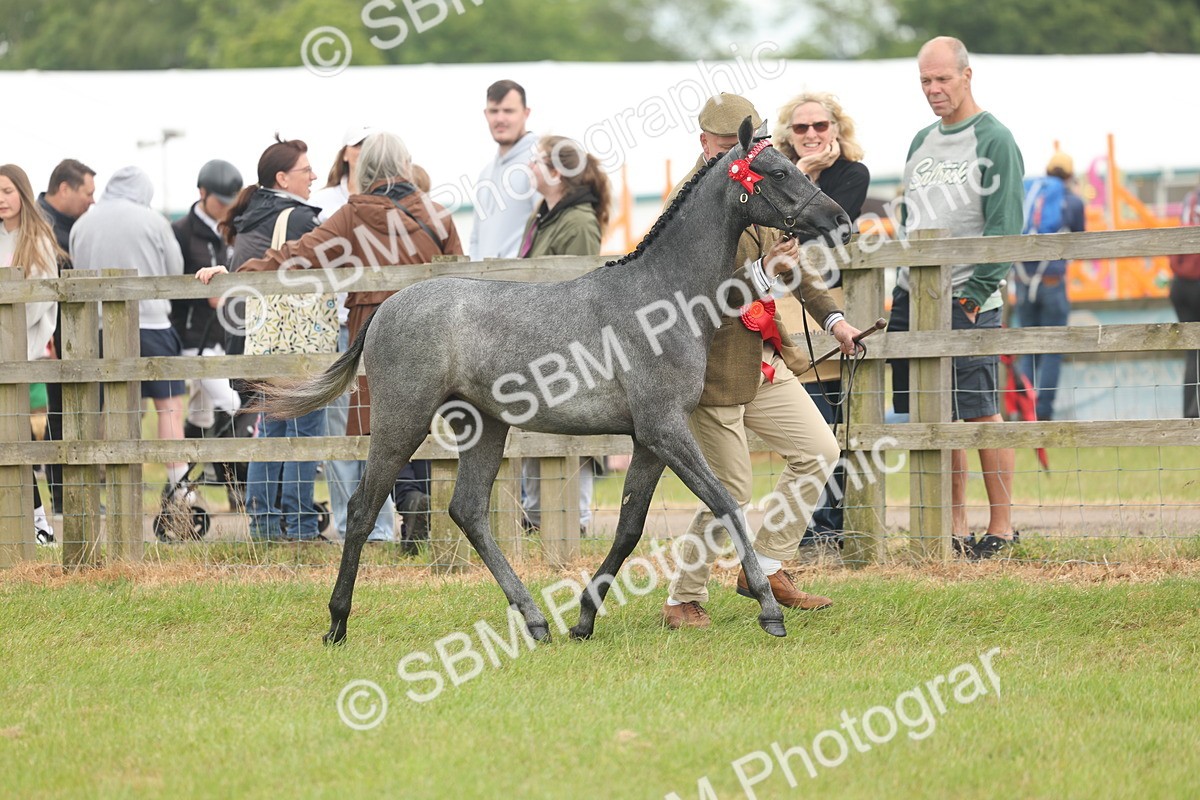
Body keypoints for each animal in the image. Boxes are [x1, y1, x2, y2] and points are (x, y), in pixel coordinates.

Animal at [258, 117, 851, 644]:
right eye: (777, 170)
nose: (840, 219)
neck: (661, 297)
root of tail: (386, 307)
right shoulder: (665, 429)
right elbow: (726, 503)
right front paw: (770, 611)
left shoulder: (648, 440)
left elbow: (630, 527)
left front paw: (584, 619)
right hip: (402, 418)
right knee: (362, 508)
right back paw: (337, 623)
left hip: (484, 426)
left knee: (467, 511)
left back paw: (536, 621)